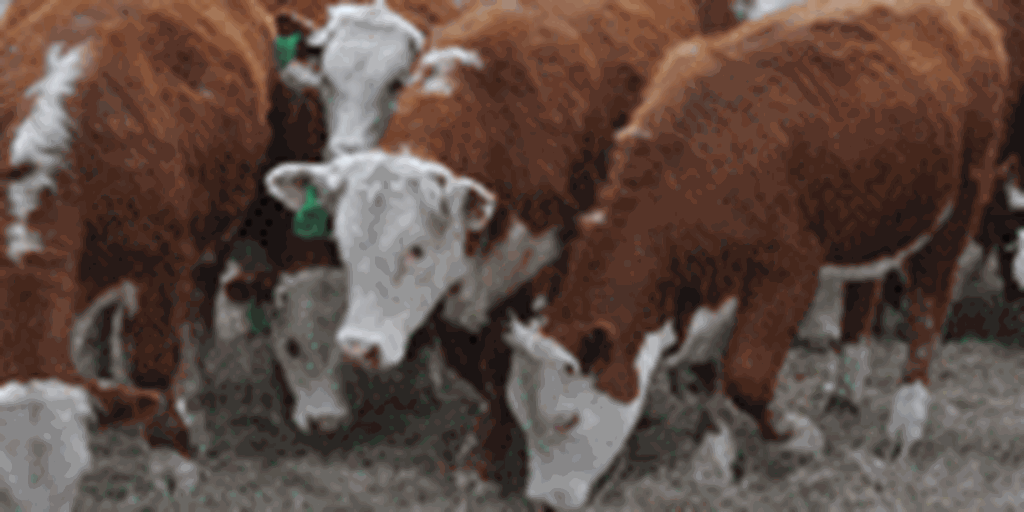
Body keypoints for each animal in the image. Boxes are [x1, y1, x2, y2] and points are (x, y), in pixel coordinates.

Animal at [502, 0, 1010, 507]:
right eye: (519, 415)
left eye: (567, 418)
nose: (542, 501)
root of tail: (966, 17)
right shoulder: (703, 288)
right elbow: (701, 373)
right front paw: (715, 456)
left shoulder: (790, 272)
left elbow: (746, 377)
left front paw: (798, 436)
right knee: (864, 293)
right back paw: (846, 390)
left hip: (962, 205)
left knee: (928, 306)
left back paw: (905, 423)